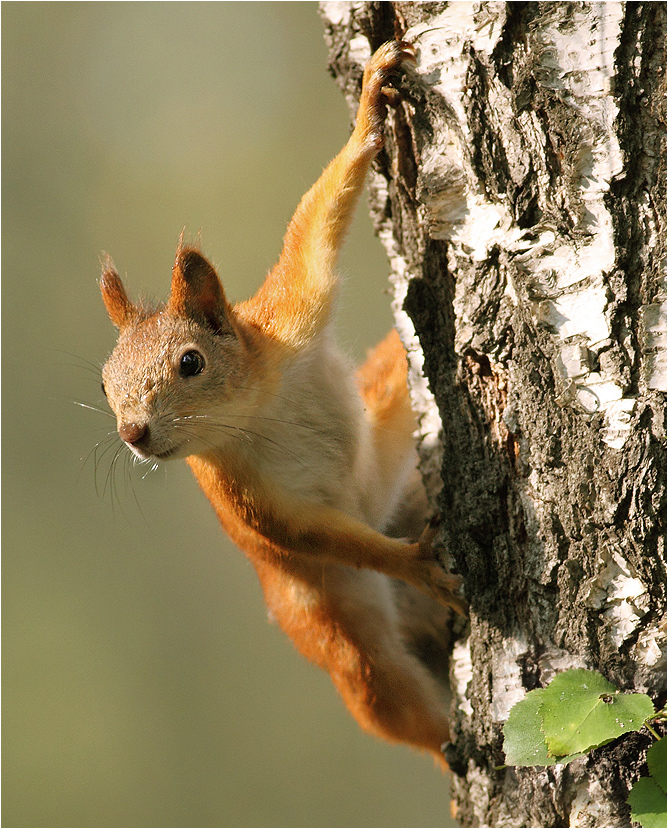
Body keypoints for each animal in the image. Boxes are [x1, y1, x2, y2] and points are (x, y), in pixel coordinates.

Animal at [99, 43, 468, 768]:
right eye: (105, 383)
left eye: (191, 362)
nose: (134, 433)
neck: (257, 407)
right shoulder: (245, 495)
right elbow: (308, 533)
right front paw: (411, 561)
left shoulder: (293, 313)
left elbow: (317, 222)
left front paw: (370, 103)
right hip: (346, 643)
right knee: (396, 705)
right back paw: (451, 744)